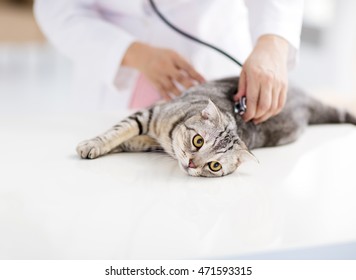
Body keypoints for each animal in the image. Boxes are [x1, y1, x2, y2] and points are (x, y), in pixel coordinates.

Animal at [76, 76, 356, 177]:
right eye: (198, 140)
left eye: (214, 166)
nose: (191, 164)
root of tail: (303, 98)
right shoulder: (150, 113)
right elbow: (118, 131)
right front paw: (93, 144)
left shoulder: (150, 138)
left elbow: (127, 140)